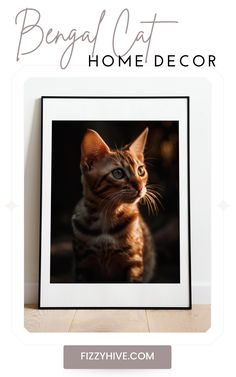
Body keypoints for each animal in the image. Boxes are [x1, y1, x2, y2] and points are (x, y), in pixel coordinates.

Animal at [71, 127, 159, 282]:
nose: (140, 187)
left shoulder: (134, 263)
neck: (107, 216)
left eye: (141, 171)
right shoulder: (82, 265)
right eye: (118, 173)